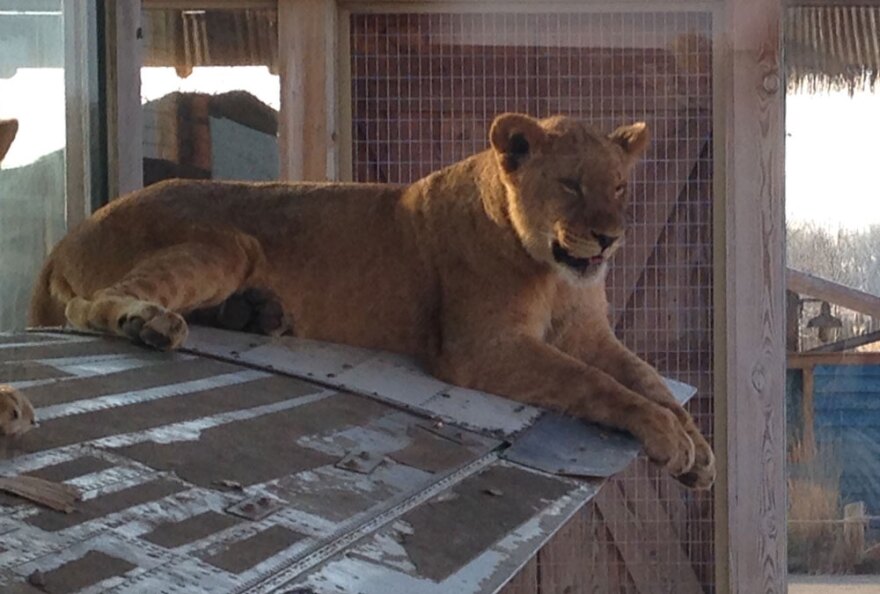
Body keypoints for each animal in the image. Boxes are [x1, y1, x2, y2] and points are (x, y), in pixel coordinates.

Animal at [29, 111, 716, 486]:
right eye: (571, 184)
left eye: (620, 187)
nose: (610, 238)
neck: (551, 271)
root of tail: (66, 238)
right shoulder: (478, 348)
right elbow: (595, 384)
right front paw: (667, 436)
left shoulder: (590, 336)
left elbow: (647, 378)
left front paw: (698, 449)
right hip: (224, 242)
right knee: (89, 307)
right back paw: (150, 324)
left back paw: (256, 314)